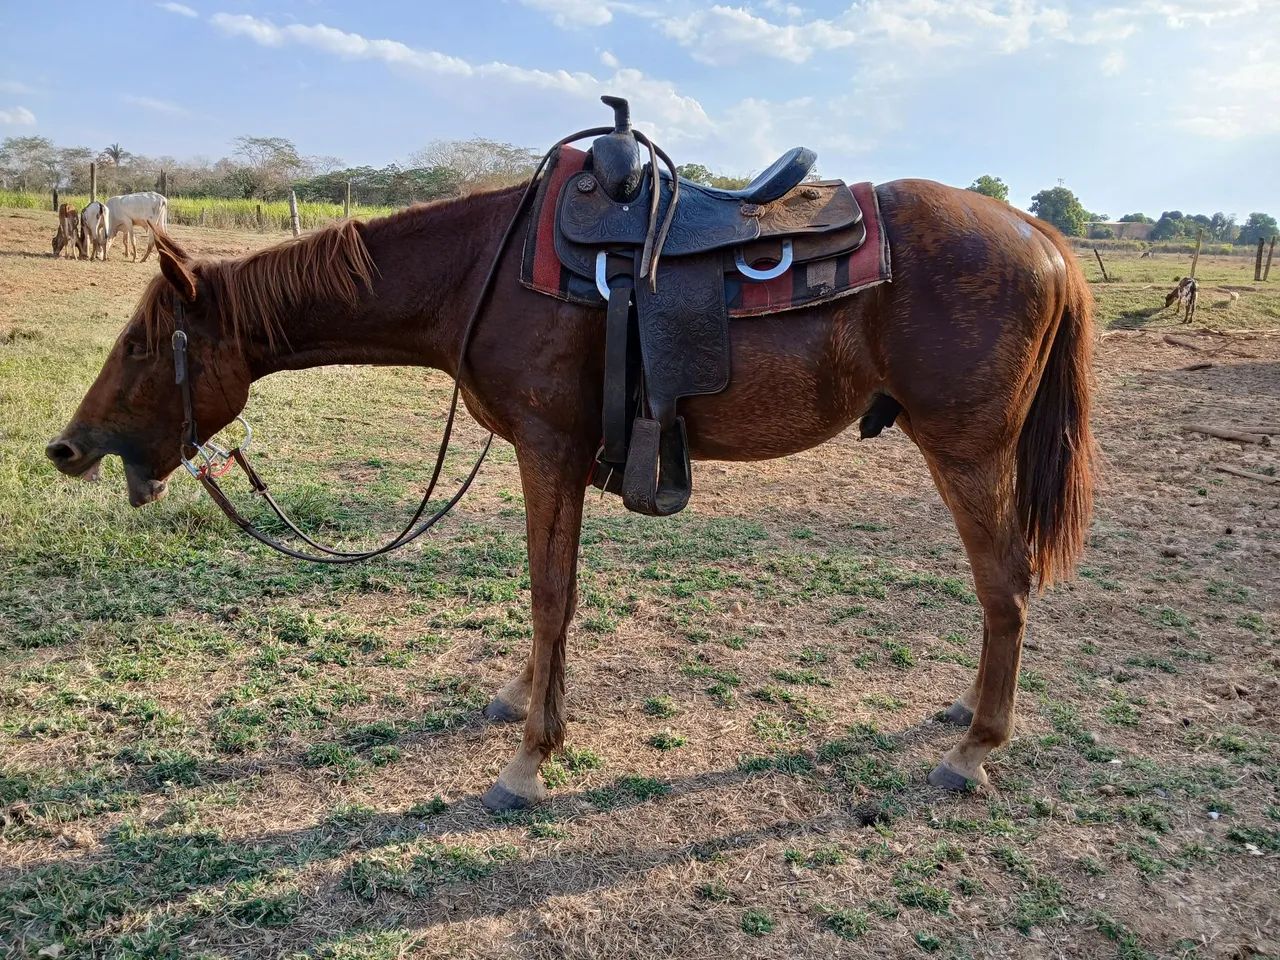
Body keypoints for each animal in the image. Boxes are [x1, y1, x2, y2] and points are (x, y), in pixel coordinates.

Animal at [46, 177, 1096, 811]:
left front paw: (529, 760)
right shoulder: (565, 456)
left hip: (966, 452)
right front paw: (526, 699)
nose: (66, 447)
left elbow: (548, 592)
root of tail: (1043, 237)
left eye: (138, 346)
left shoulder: (547, 448)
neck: (480, 273)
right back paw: (967, 712)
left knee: (1005, 585)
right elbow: (562, 589)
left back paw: (976, 746)